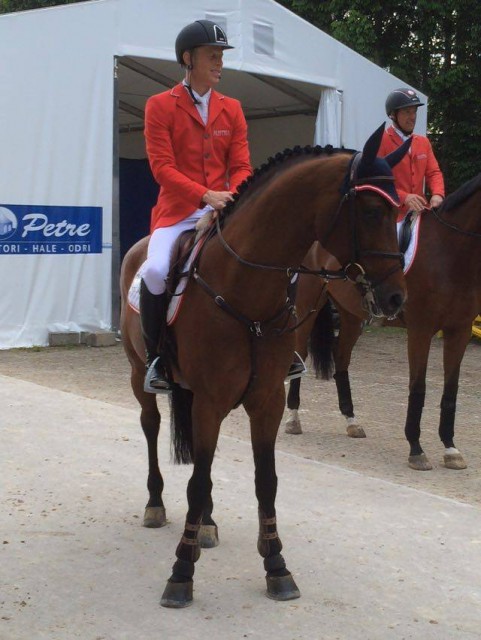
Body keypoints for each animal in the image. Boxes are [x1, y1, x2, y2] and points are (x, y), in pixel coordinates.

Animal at [120, 124, 408, 604]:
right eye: (370, 211)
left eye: (400, 211)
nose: (396, 298)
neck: (246, 290)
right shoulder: (211, 400)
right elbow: (198, 480)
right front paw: (181, 573)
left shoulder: (267, 399)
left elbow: (264, 479)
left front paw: (276, 564)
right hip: (140, 375)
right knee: (152, 427)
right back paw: (155, 504)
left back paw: (208, 524)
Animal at [286, 172, 481, 472]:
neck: (451, 252)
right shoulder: (420, 330)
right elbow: (418, 388)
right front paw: (416, 449)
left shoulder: (458, 331)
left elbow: (451, 392)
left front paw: (450, 449)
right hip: (308, 305)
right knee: (300, 356)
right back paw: (293, 419)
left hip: (352, 317)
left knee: (341, 361)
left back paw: (351, 421)